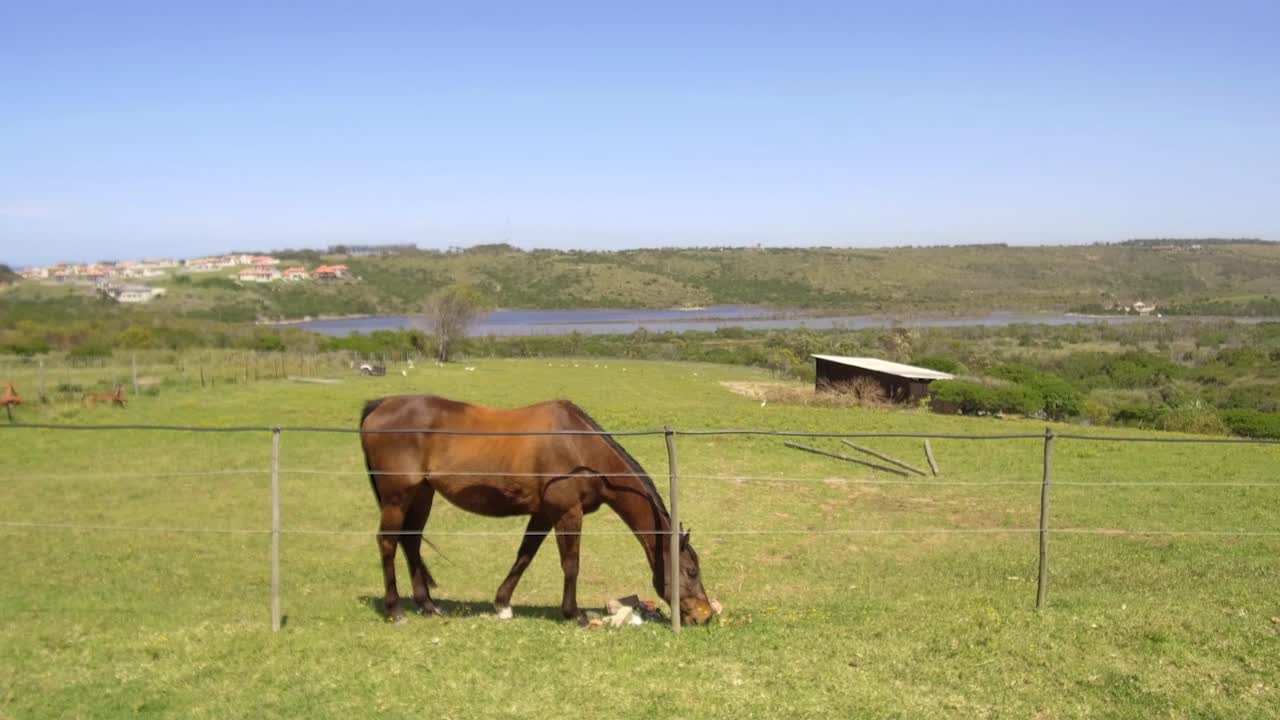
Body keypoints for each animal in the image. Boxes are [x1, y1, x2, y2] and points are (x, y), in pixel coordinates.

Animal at [359, 394, 714, 626]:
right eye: (690, 571)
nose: (705, 615)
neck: (579, 447)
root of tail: (381, 405)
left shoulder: (543, 514)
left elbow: (524, 557)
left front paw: (502, 604)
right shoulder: (567, 512)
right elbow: (571, 564)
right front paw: (574, 613)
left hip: (422, 494)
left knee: (411, 541)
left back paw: (428, 606)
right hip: (397, 497)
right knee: (388, 543)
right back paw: (395, 610)